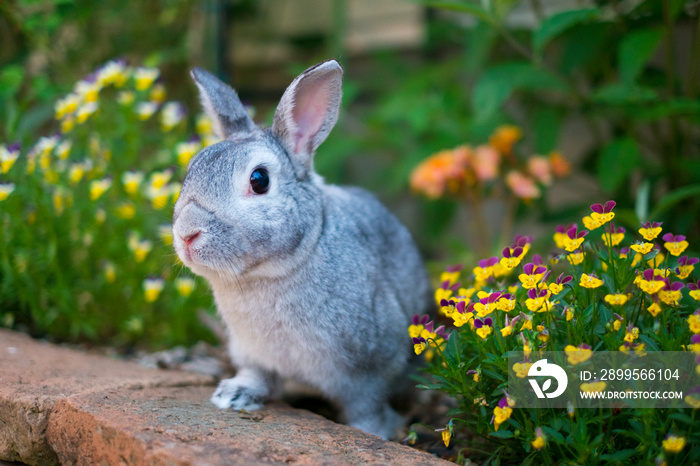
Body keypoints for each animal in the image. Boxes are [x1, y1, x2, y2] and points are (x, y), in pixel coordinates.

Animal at [172, 59, 430, 440]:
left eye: (259, 180)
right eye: (192, 169)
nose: (187, 233)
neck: (272, 272)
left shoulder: (369, 368)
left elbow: (366, 405)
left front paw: (372, 433)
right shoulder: (251, 351)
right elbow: (257, 374)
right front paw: (233, 395)